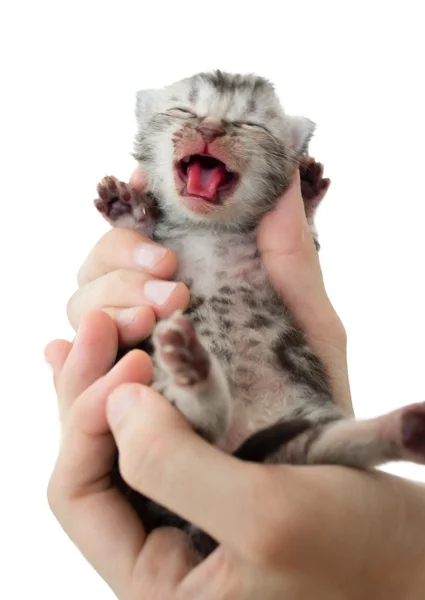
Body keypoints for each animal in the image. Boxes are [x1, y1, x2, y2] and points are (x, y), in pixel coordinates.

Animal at [93, 70, 424, 556]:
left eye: (248, 124)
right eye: (186, 110)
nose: (211, 130)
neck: (209, 229)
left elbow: (308, 232)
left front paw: (306, 191)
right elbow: (143, 236)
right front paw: (127, 209)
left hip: (300, 434)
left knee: (324, 445)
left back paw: (402, 428)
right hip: (158, 391)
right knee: (201, 423)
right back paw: (195, 371)